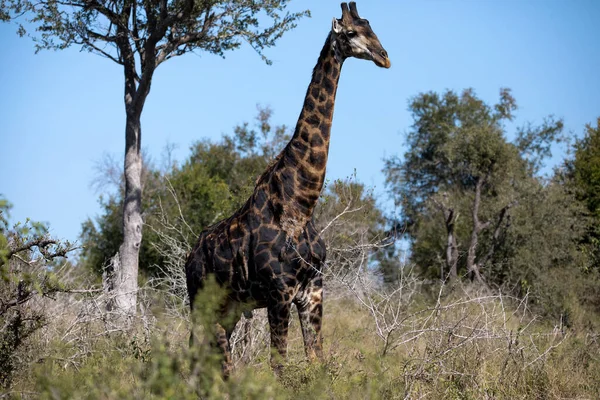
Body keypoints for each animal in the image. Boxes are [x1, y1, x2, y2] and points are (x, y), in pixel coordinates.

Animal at [185, 1, 392, 376]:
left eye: (372, 26)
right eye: (351, 32)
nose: (385, 57)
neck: (301, 203)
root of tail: (188, 257)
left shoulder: (313, 289)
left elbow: (316, 361)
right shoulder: (279, 292)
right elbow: (279, 366)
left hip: (229, 309)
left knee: (209, 359)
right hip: (200, 303)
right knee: (208, 358)